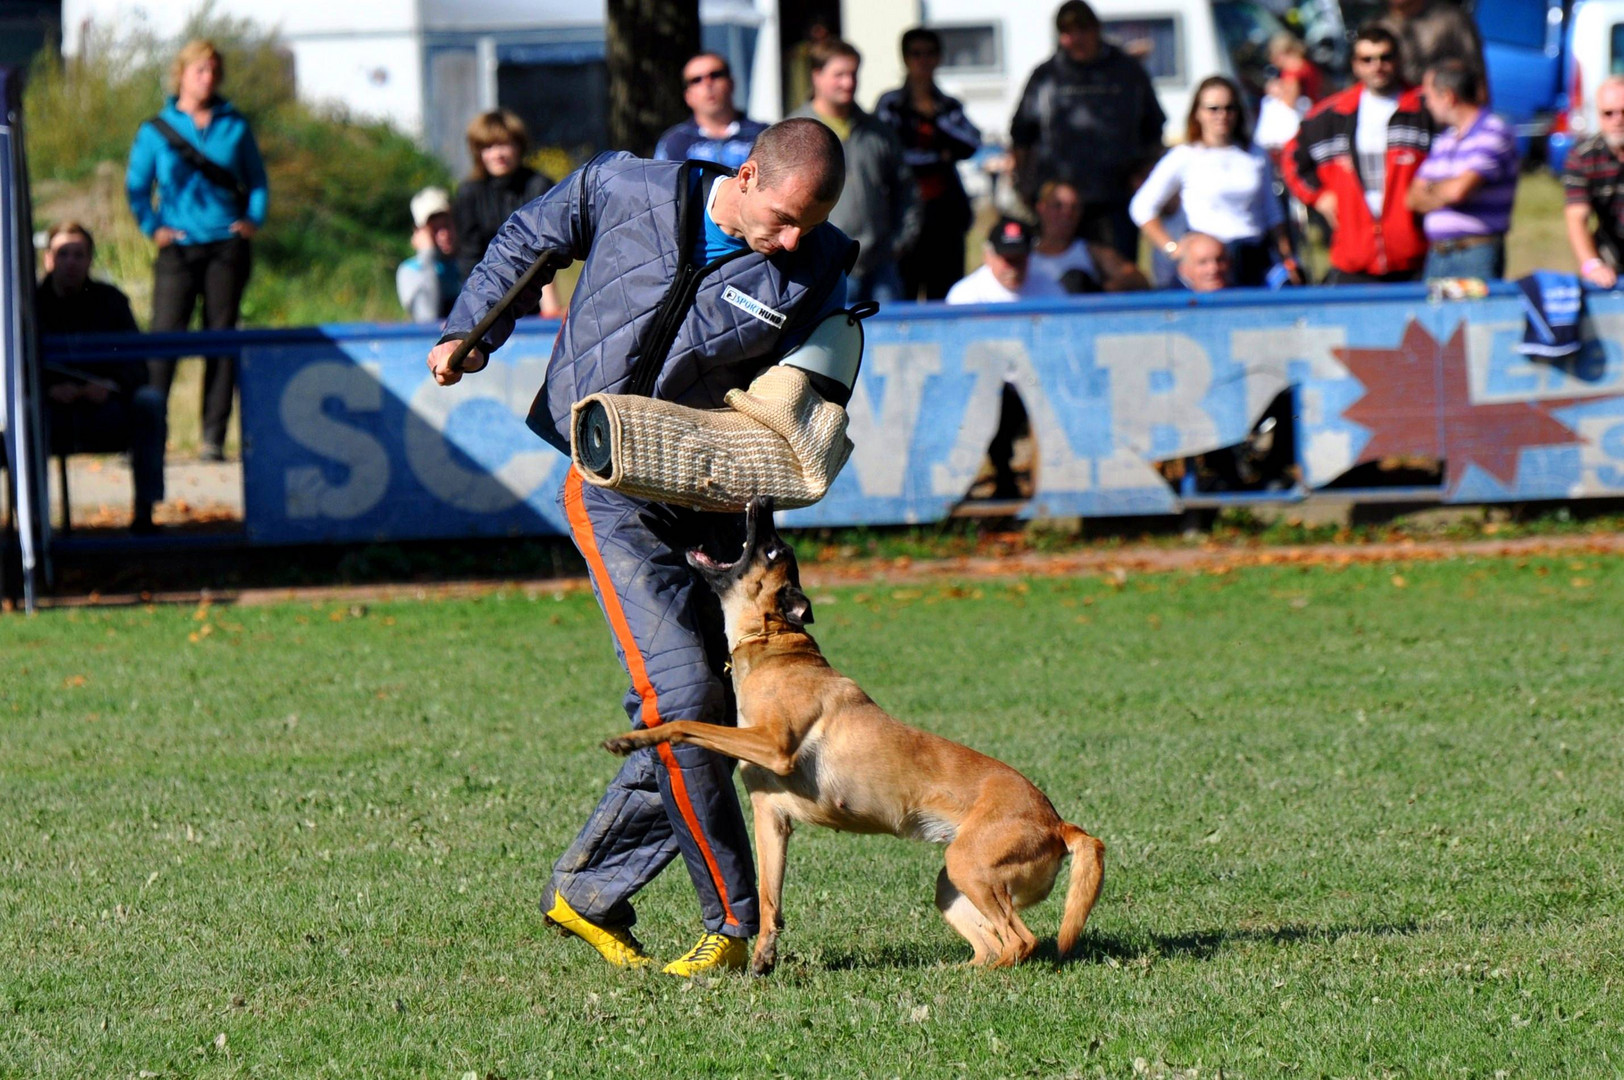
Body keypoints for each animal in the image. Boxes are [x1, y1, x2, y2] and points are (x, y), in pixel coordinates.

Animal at [604, 496, 1110, 967]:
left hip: (968, 867)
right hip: (952, 885)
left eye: (773, 549)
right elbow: (769, 900)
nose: (764, 501)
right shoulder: (772, 820)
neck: (774, 643)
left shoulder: (775, 746)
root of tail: (1059, 824)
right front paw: (764, 956)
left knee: (1022, 942)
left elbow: (687, 723)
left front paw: (632, 738)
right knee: (991, 945)